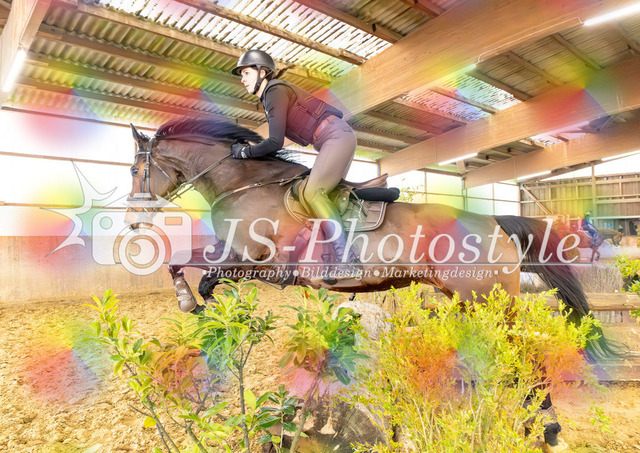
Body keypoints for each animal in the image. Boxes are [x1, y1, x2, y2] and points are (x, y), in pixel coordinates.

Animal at [124, 117, 620, 446]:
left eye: (132, 169)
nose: (132, 221)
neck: (245, 186)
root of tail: (495, 220)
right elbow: (188, 266)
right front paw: (199, 306)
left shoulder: (254, 261)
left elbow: (192, 267)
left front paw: (191, 300)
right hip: (464, 300)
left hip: (487, 302)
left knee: (524, 355)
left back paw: (546, 426)